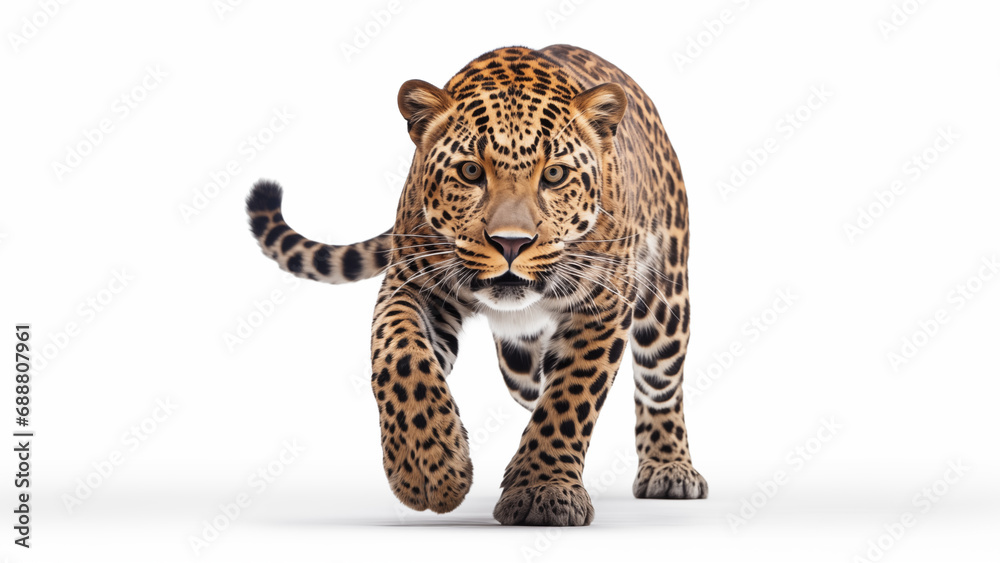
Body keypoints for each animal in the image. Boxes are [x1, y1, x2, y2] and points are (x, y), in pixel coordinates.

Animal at [245, 44, 707, 526]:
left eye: (554, 175)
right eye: (470, 172)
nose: (511, 242)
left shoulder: (602, 306)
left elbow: (570, 397)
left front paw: (543, 489)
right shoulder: (411, 285)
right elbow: (400, 356)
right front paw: (427, 466)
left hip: (665, 302)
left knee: (660, 384)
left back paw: (670, 469)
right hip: (518, 362)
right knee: (531, 383)